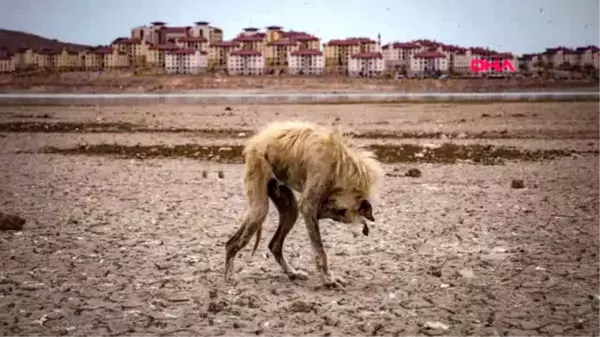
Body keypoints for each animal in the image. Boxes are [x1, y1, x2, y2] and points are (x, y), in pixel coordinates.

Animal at [225, 120, 384, 286]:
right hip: (259, 210)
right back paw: (229, 276)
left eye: (339, 212)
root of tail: (253, 143)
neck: (340, 164)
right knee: (231, 243)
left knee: (274, 245)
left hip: (290, 210)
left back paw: (292, 273)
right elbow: (320, 250)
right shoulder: (309, 206)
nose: (318, 215)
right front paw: (328, 279)